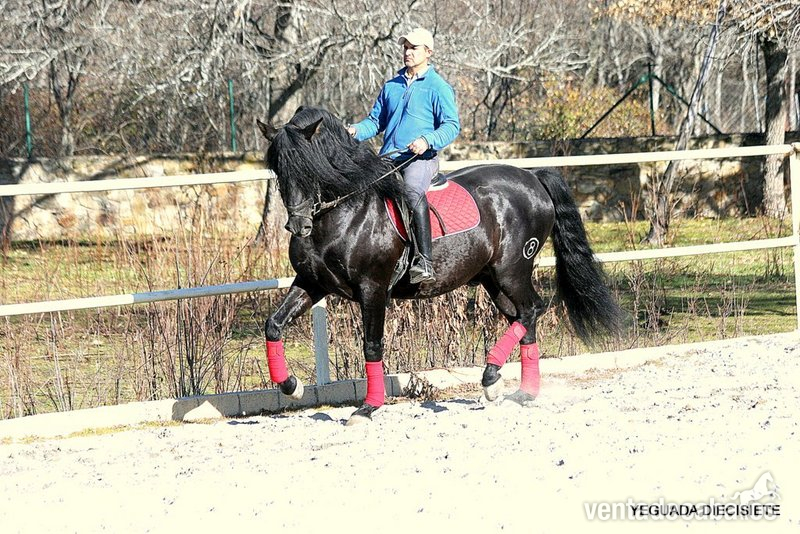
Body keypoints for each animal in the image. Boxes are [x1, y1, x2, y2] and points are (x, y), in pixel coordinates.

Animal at [256, 106, 622, 425]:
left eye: (310, 168)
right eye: (279, 170)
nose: (298, 225)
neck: (345, 212)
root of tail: (531, 176)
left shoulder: (373, 289)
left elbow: (372, 345)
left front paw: (367, 409)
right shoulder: (312, 283)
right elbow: (273, 325)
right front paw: (292, 387)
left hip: (512, 269)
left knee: (533, 308)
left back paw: (491, 376)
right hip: (492, 279)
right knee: (522, 317)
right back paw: (520, 391)